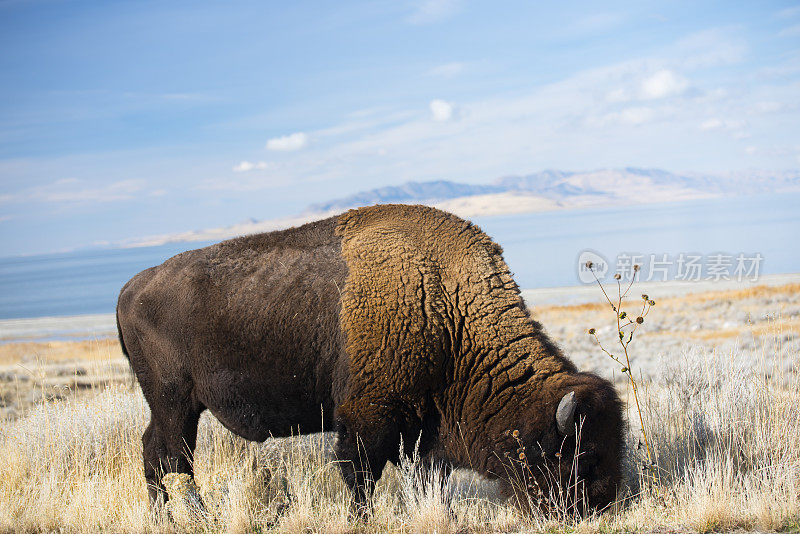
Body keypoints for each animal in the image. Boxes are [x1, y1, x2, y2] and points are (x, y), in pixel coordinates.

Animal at [115, 204, 624, 516]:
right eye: (580, 458)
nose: (601, 504)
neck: (445, 306)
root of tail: (131, 287)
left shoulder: (424, 431)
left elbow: (426, 479)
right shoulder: (367, 418)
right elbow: (361, 477)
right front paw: (364, 517)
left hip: (173, 407)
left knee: (154, 452)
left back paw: (164, 517)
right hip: (176, 403)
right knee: (174, 458)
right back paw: (193, 515)